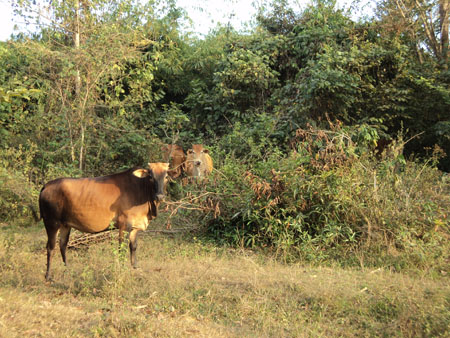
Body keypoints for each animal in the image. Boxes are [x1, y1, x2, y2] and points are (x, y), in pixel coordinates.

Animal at [38, 162, 169, 282]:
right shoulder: (124, 225)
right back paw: (48, 276)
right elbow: (122, 249)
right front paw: (122, 269)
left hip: (65, 225)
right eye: (151, 175)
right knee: (50, 247)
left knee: (63, 245)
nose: (160, 196)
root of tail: (47, 185)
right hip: (51, 223)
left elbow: (133, 247)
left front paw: (135, 268)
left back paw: (67, 270)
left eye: (166, 175)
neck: (141, 190)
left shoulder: (135, 227)